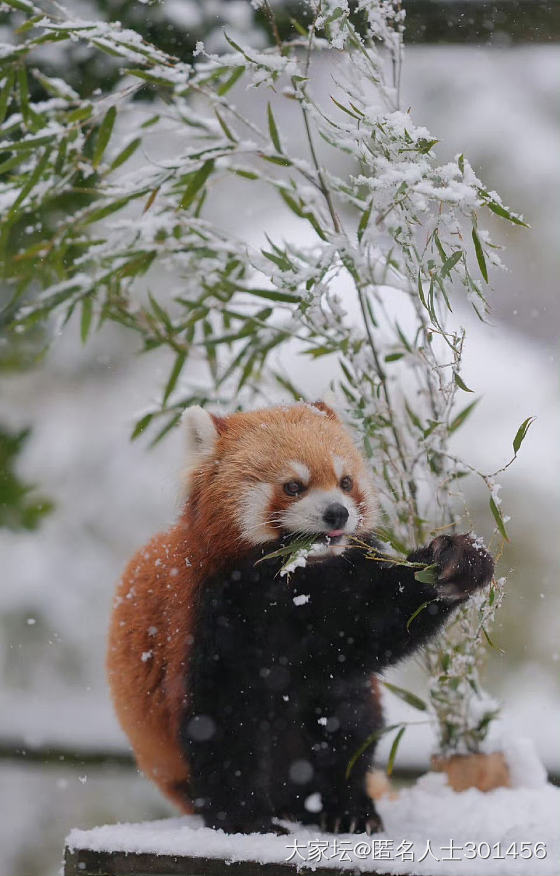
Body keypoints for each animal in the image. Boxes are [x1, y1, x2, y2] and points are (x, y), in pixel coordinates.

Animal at [107, 400, 492, 832]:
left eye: (345, 482)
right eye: (293, 486)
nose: (338, 513)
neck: (296, 578)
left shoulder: (341, 590)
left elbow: (371, 625)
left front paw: (454, 564)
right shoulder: (208, 616)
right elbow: (220, 726)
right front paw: (245, 820)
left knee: (348, 721)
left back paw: (346, 807)